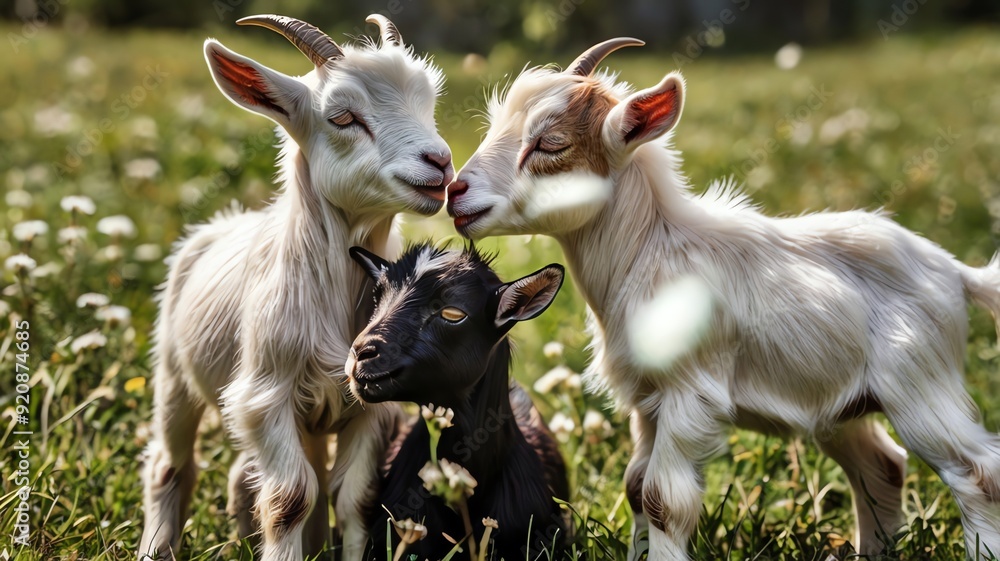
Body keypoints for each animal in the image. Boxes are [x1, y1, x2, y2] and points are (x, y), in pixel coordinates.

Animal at [139, 15, 453, 561]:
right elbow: (291, 498)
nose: (439, 162)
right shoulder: (265, 396)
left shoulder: (371, 407)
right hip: (175, 376)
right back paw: (157, 547)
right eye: (343, 117)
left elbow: (353, 498)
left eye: (427, 103)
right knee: (170, 463)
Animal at [447, 39, 1000, 560]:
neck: (651, 249)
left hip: (918, 383)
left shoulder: (691, 392)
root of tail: (955, 271)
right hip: (843, 404)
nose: (456, 192)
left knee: (976, 471)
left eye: (550, 142)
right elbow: (635, 486)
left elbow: (663, 499)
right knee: (882, 466)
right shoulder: (646, 399)